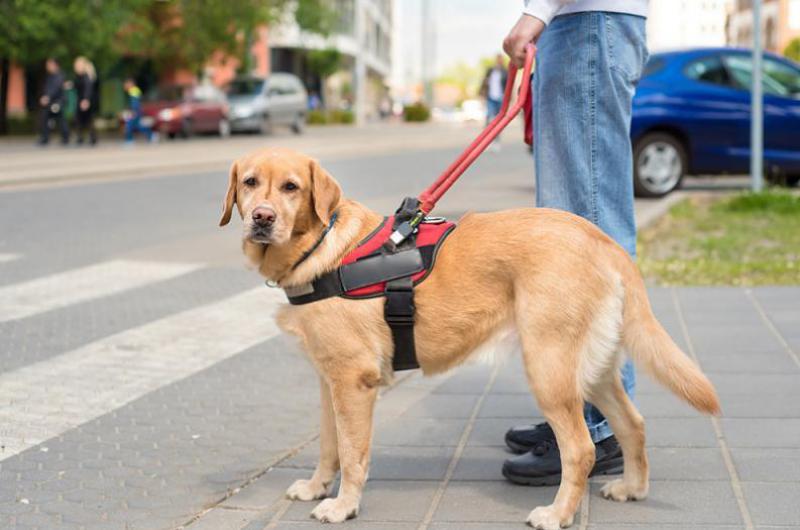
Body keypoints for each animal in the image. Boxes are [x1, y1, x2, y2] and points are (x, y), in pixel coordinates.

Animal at [217, 146, 720, 524]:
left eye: (291, 188)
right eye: (250, 183)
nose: (262, 218)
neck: (319, 248)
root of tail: (601, 239)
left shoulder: (353, 382)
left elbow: (353, 453)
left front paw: (343, 505)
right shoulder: (329, 382)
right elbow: (329, 446)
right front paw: (316, 487)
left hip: (549, 368)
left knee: (580, 450)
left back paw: (557, 514)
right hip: (592, 371)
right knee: (633, 424)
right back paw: (633, 487)